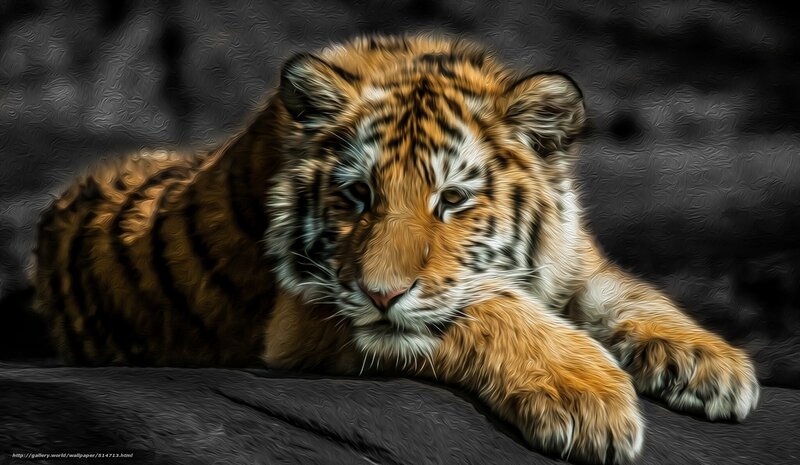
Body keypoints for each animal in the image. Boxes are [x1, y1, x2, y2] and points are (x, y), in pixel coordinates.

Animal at [33, 34, 760, 464]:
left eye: (453, 200)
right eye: (357, 195)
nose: (381, 293)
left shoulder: (573, 261)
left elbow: (630, 293)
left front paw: (713, 366)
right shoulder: (308, 313)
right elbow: (485, 307)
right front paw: (586, 397)